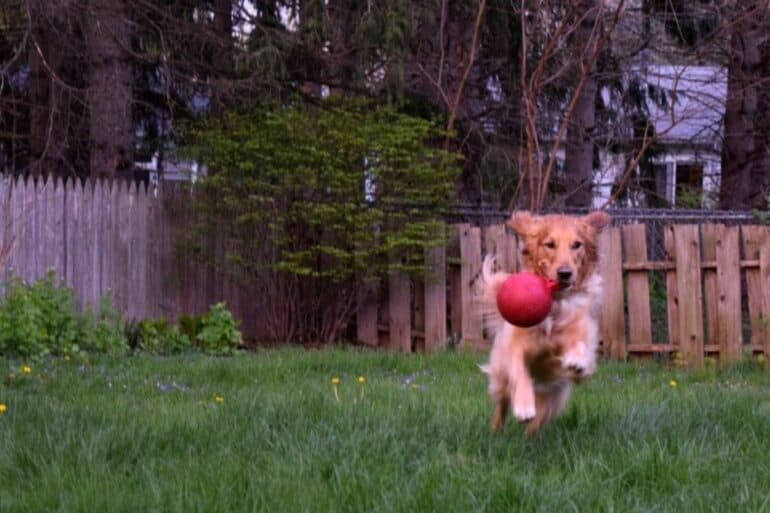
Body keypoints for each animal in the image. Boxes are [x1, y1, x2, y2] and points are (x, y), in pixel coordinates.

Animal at [474, 209, 608, 436]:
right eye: (550, 244)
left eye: (577, 244)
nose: (565, 273)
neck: (554, 306)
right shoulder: (515, 346)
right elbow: (520, 372)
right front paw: (524, 406)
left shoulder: (582, 339)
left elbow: (580, 348)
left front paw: (576, 359)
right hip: (500, 379)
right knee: (501, 404)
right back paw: (495, 432)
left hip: (553, 398)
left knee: (537, 423)